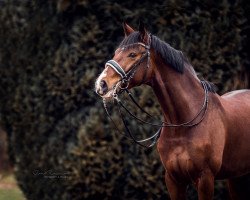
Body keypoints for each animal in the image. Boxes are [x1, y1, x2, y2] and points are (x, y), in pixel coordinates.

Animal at [94, 23, 250, 198]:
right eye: (115, 53)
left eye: (132, 54)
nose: (101, 84)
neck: (183, 124)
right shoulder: (173, 180)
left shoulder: (205, 179)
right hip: (236, 176)